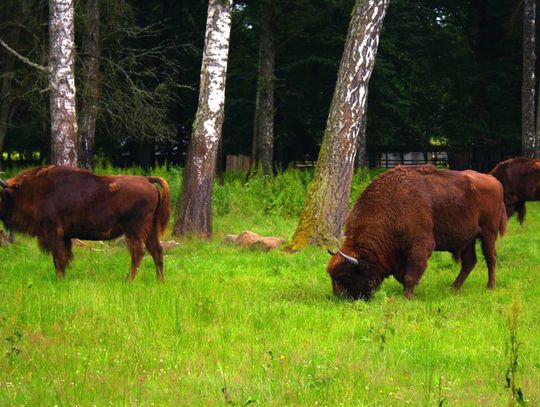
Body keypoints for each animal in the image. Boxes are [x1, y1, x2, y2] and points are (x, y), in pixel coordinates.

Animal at [0, 166, 170, 280]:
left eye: (2, 195)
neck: (34, 189)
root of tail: (147, 180)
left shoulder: (53, 231)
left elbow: (58, 256)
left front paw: (59, 278)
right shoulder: (65, 236)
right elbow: (64, 256)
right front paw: (63, 276)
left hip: (134, 230)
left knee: (139, 252)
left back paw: (129, 280)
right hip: (151, 229)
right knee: (156, 250)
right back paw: (159, 280)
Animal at [326, 164, 508, 302]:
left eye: (346, 276)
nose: (338, 297)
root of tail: (495, 181)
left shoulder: (419, 246)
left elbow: (410, 275)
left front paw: (408, 297)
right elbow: (403, 275)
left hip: (488, 234)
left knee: (490, 258)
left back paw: (490, 286)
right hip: (468, 240)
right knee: (469, 262)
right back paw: (453, 288)